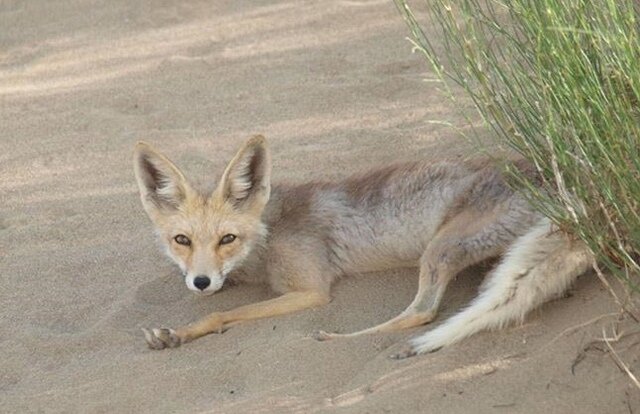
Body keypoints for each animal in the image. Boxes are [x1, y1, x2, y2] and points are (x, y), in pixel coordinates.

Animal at [132, 134, 592, 358]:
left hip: (440, 248)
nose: (201, 282)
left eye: (227, 238)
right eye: (182, 240)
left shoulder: (311, 290)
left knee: (421, 314)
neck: (269, 235)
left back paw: (339, 339)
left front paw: (182, 332)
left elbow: (225, 314)